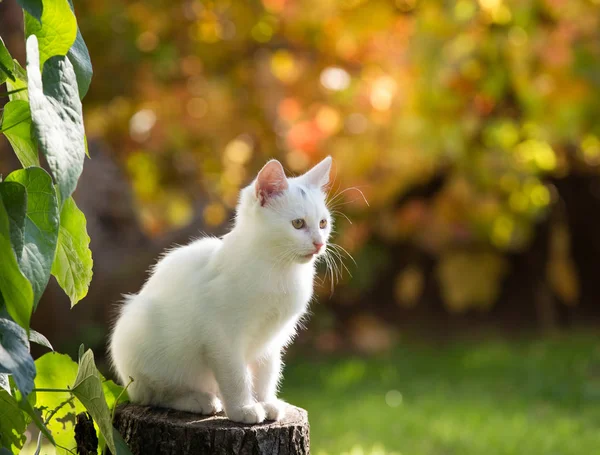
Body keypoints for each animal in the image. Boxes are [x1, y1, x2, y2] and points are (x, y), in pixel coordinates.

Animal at [109, 157, 332, 424]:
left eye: (323, 223)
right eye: (298, 223)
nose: (319, 243)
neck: (278, 269)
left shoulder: (271, 340)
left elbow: (266, 373)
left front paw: (265, 402)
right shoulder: (222, 337)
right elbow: (236, 376)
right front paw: (242, 409)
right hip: (142, 331)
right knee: (152, 394)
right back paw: (198, 400)